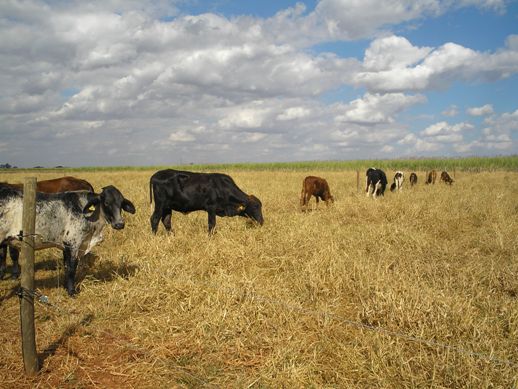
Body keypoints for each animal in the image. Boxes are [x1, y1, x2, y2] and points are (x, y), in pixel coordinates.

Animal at [0, 185, 136, 294]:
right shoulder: (73, 244)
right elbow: (71, 268)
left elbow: (66, 267)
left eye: (121, 203)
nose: (119, 224)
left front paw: (66, 287)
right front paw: (72, 291)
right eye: (106, 202)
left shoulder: (65, 246)